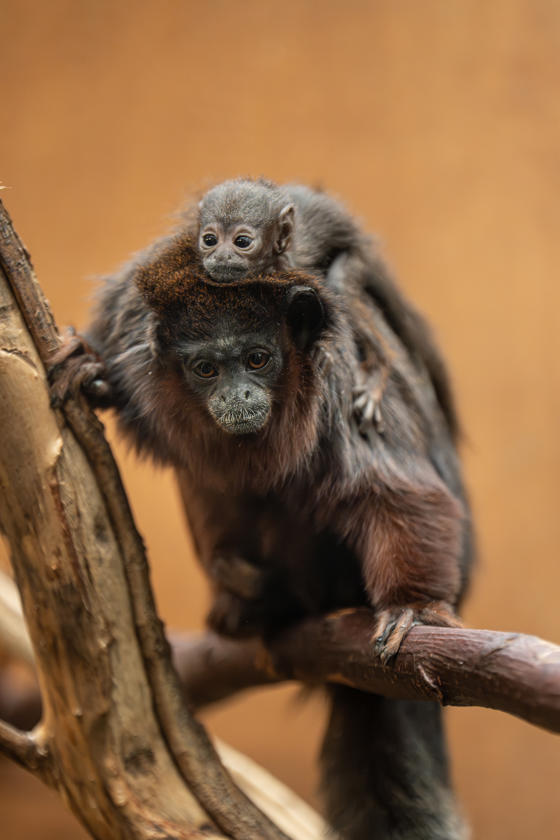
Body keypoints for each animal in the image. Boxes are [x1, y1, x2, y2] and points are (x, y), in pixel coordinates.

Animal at [50, 225, 473, 840]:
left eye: (257, 359)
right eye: (206, 369)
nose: (239, 396)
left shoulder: (341, 390)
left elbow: (396, 493)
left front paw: (413, 606)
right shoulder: (137, 352)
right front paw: (92, 374)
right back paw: (251, 597)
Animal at [196, 177, 460, 440]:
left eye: (242, 242)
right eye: (210, 240)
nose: (221, 256)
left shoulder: (292, 269)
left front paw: (324, 348)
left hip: (355, 256)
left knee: (341, 282)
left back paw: (377, 372)